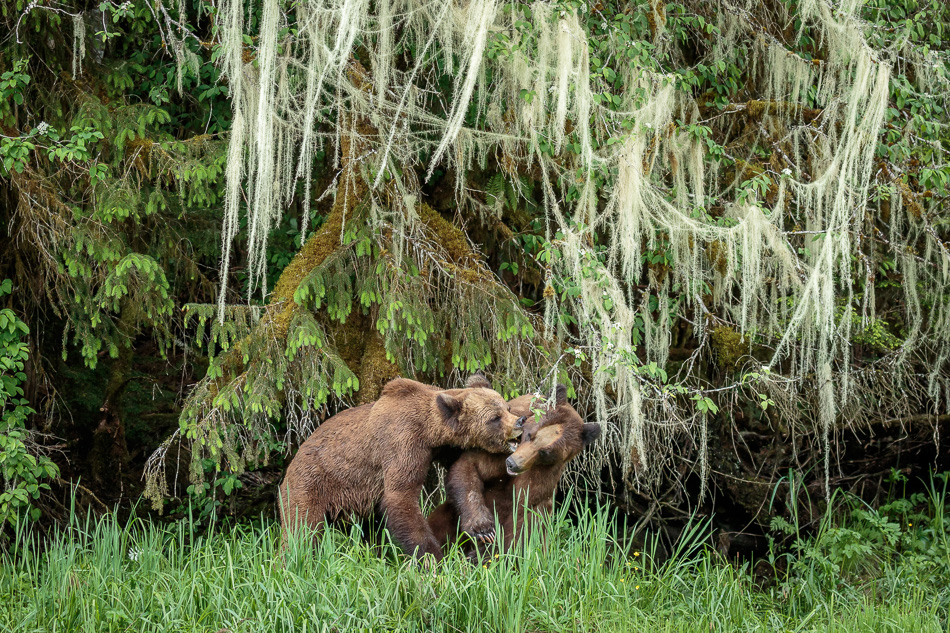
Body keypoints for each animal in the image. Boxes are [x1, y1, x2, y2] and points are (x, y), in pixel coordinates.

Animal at [278, 377, 526, 560]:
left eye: (507, 407)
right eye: (494, 417)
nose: (520, 421)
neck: (430, 432)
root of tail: (293, 460)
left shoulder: (443, 449)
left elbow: (462, 474)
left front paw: (483, 530)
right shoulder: (402, 444)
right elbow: (401, 497)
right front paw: (433, 557)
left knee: (369, 531)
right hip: (313, 484)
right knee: (300, 530)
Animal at [427, 385, 601, 556]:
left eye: (545, 452)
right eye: (530, 435)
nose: (512, 464)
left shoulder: (543, 474)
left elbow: (523, 515)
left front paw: (489, 553)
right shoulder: (498, 449)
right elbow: (470, 468)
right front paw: (483, 529)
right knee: (441, 523)